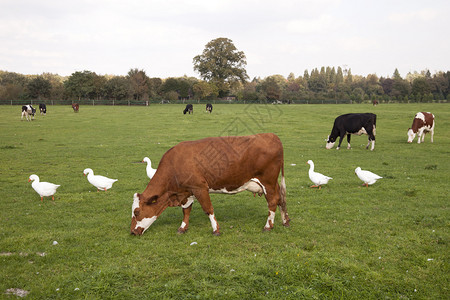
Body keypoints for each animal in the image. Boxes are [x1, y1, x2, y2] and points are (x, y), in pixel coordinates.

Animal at [130, 132, 290, 236]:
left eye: (136, 212)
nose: (132, 232)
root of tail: (271, 135)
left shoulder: (200, 188)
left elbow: (208, 209)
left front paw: (215, 230)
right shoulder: (187, 191)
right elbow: (186, 210)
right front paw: (182, 228)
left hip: (267, 182)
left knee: (272, 202)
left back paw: (268, 226)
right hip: (273, 183)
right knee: (281, 198)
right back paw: (285, 221)